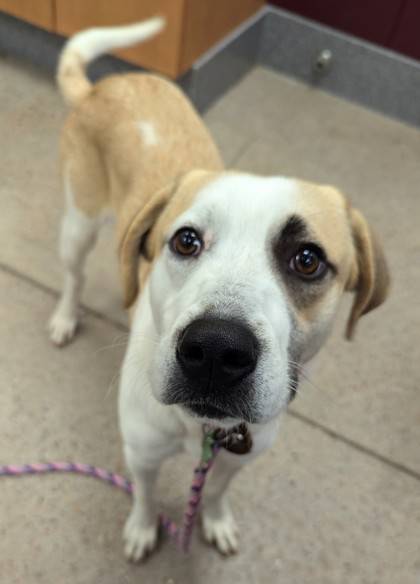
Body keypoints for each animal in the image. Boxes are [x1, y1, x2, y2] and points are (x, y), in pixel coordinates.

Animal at [49, 19, 390, 560]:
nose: (214, 350)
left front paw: (215, 520)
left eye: (308, 259)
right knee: (73, 275)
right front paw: (143, 528)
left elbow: (214, 493)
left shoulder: (239, 457)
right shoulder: (140, 452)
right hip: (78, 223)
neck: (203, 431)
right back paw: (64, 317)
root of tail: (108, 84)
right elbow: (145, 495)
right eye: (186, 240)